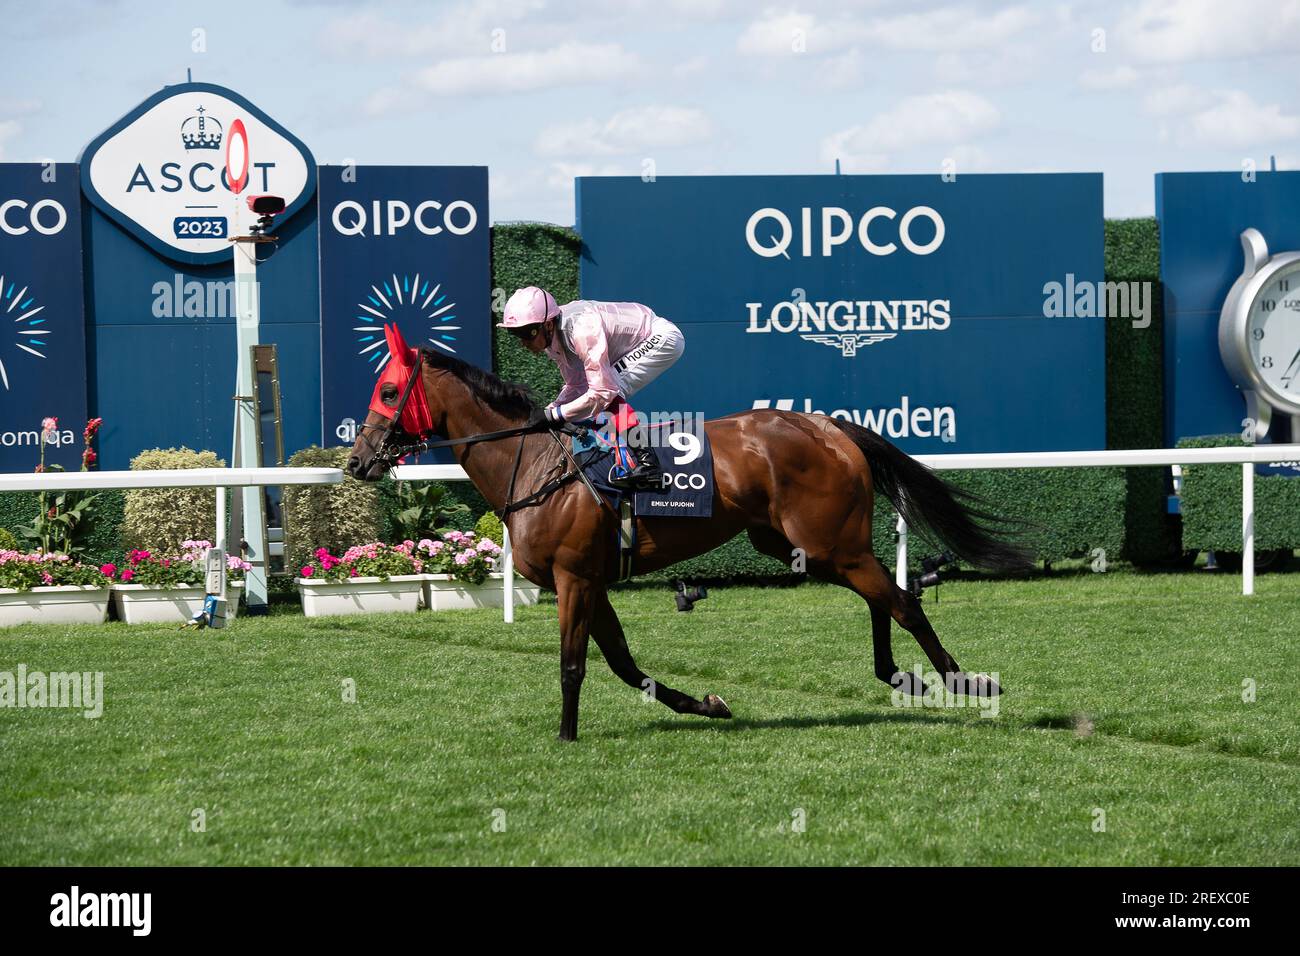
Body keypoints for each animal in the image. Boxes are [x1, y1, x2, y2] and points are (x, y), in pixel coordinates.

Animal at [348, 325, 1034, 743]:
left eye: (389, 390)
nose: (356, 462)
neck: (540, 465)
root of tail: (829, 426)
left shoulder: (574, 577)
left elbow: (574, 663)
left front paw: (566, 735)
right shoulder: (594, 580)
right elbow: (623, 664)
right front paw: (706, 704)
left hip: (828, 542)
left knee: (903, 601)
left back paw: (963, 681)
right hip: (806, 547)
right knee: (884, 597)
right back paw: (897, 674)